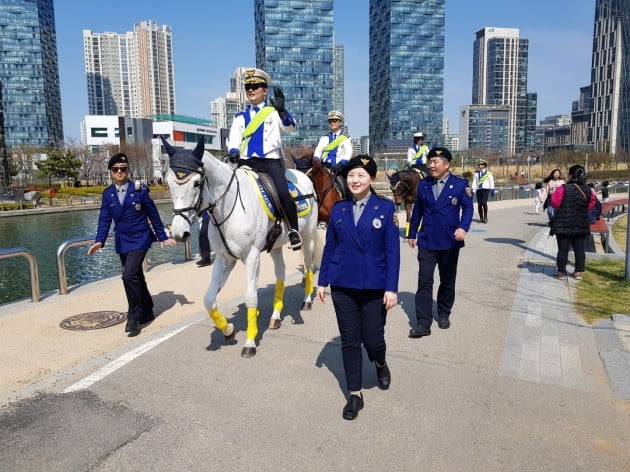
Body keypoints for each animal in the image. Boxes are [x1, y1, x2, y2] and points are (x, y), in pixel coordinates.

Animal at [164, 138, 320, 356]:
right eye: (168, 183)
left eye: (196, 183)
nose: (179, 233)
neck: (229, 208)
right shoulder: (224, 259)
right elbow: (209, 299)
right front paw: (228, 330)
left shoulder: (252, 256)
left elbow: (251, 298)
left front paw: (250, 342)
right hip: (276, 246)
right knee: (280, 274)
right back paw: (276, 316)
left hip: (308, 236)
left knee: (308, 265)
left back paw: (306, 301)